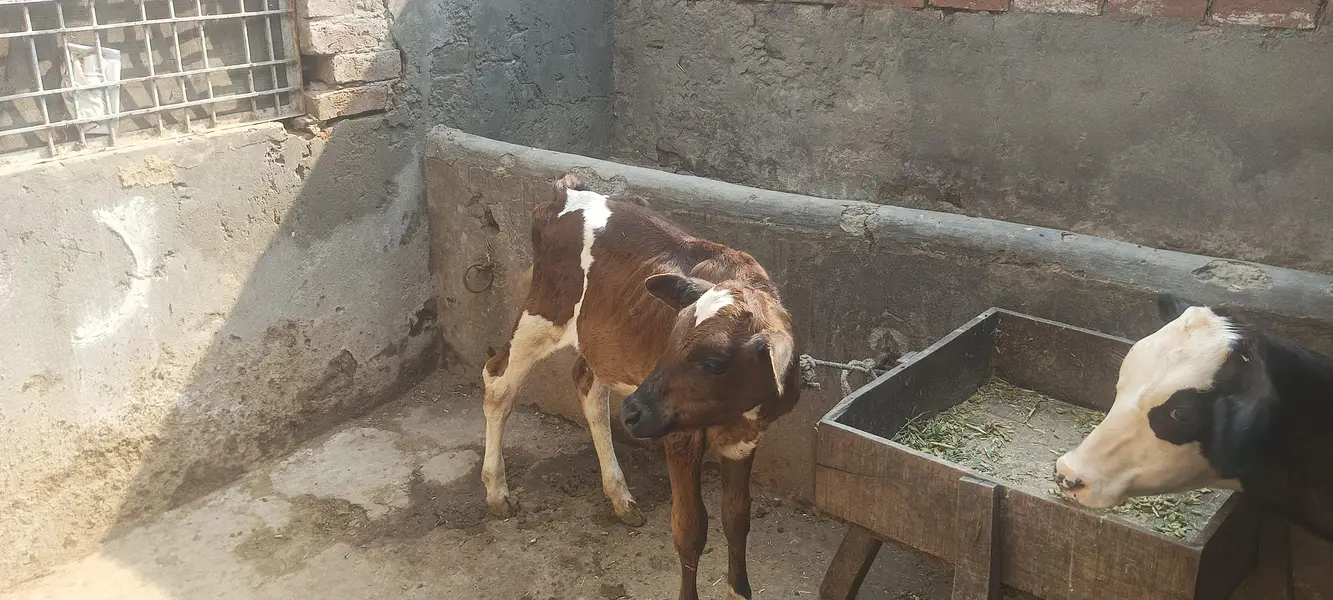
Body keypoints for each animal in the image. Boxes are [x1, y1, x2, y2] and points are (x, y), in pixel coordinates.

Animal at [481, 174, 802, 600]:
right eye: (672, 338)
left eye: (714, 362)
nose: (633, 410)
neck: (733, 412)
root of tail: (567, 191)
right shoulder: (680, 437)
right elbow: (690, 529)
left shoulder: (746, 438)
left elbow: (737, 520)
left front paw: (739, 590)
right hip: (542, 313)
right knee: (498, 382)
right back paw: (497, 492)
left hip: (598, 335)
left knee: (588, 387)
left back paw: (619, 496)